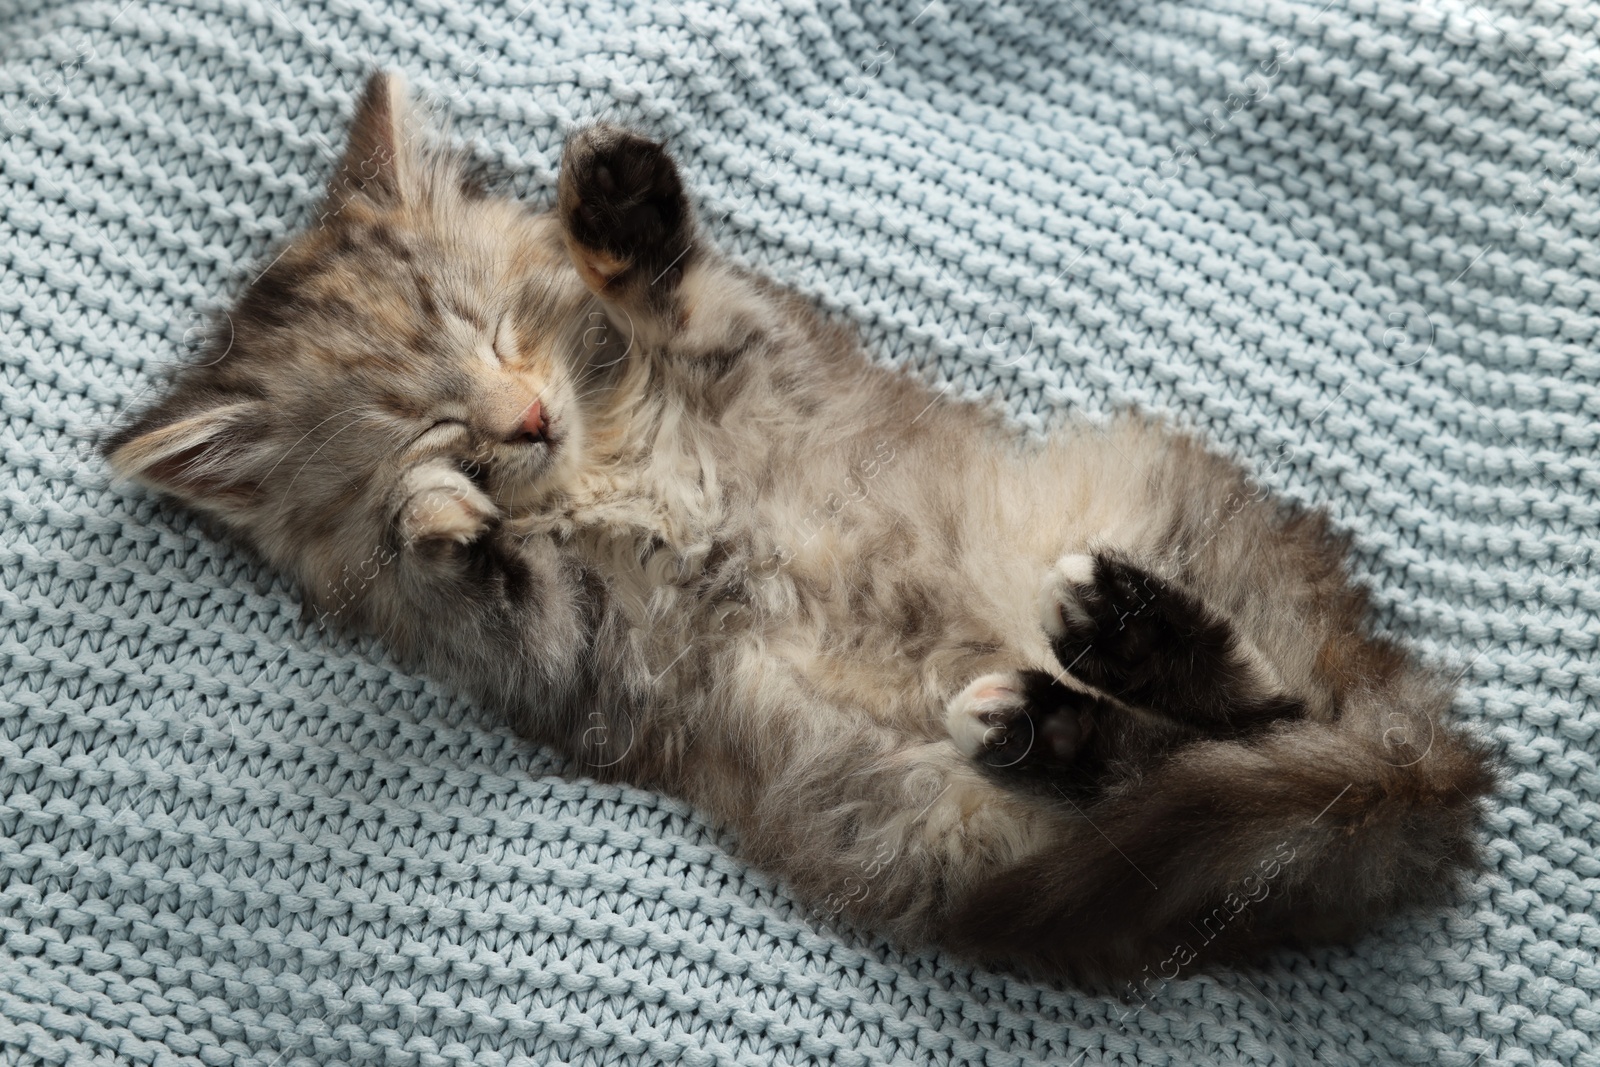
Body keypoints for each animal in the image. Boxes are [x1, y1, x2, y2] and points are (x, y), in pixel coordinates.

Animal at [106, 73, 1491, 985]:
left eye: (497, 327)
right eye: (425, 426)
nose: (527, 416)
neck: (609, 463)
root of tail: (1424, 771)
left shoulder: (761, 364)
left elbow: (685, 296)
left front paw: (621, 207)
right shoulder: (567, 660)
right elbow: (504, 592)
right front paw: (442, 522)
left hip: (1164, 504)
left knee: (1270, 715)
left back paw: (1127, 632)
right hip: (947, 829)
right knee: (1176, 763)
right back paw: (1053, 711)